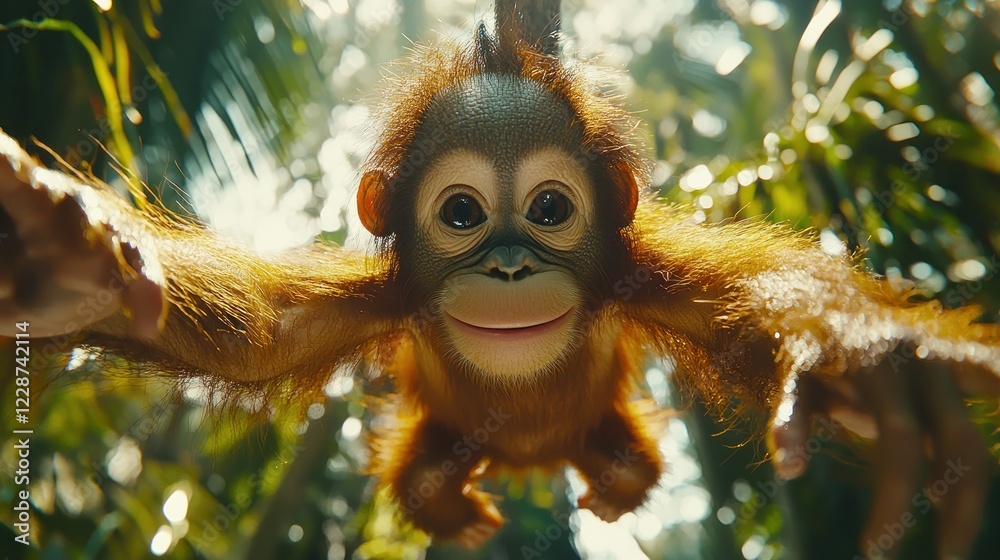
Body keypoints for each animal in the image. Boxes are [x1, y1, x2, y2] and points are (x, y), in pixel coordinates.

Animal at [1, 5, 999, 558]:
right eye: (462, 213)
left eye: (551, 207)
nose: (511, 262)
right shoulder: (381, 300)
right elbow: (253, 338)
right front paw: (65, 266)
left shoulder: (641, 279)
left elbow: (757, 307)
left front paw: (867, 358)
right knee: (425, 478)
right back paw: (455, 505)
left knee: (623, 460)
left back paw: (613, 487)